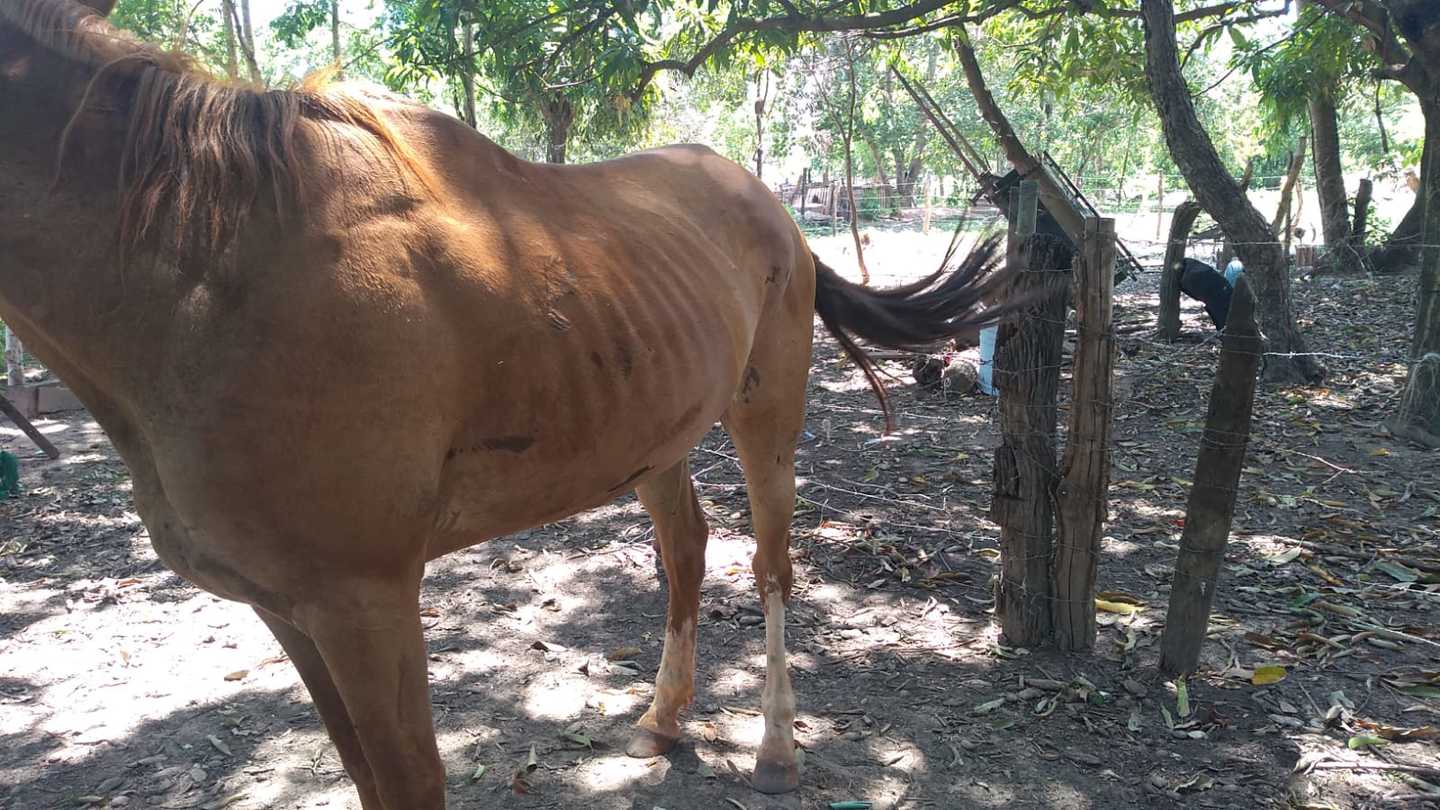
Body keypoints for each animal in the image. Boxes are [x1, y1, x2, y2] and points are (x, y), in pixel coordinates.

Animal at [0, 3, 1013, 801]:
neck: (215, 266)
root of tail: (770, 204)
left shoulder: (365, 602)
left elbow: (409, 781)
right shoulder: (287, 610)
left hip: (768, 417)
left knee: (770, 569)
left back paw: (773, 751)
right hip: (659, 434)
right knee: (687, 552)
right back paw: (664, 719)